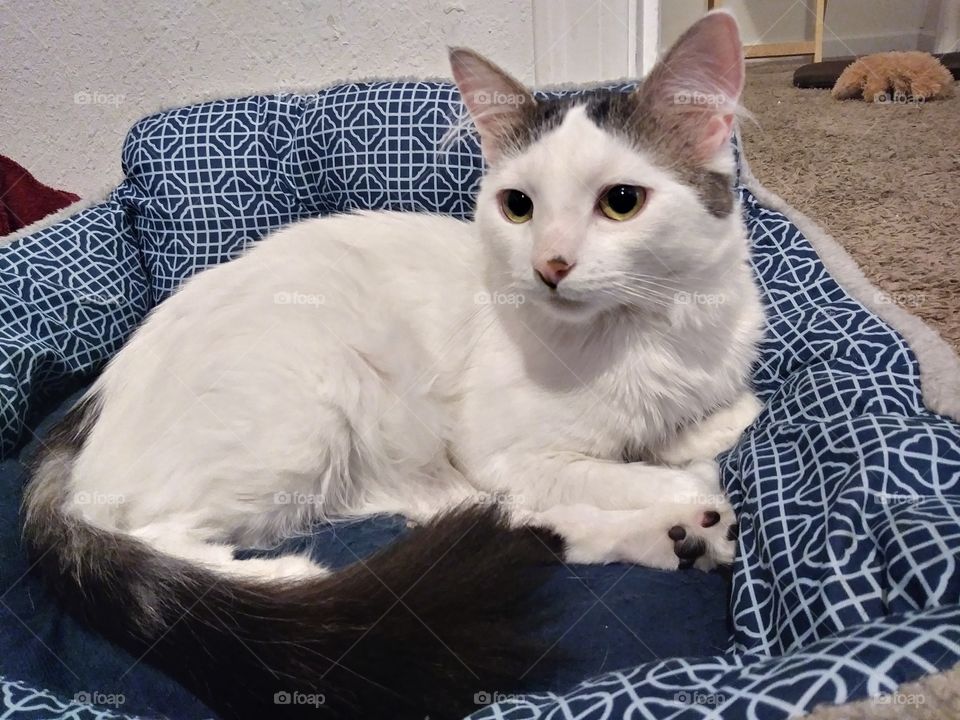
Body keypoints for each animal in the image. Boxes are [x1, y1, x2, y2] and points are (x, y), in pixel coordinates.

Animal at [22, 9, 764, 720]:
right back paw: (283, 580)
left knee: (515, 524)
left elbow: (694, 428)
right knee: (158, 539)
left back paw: (676, 541)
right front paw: (689, 486)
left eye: (621, 202)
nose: (549, 266)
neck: (645, 334)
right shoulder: (509, 454)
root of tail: (84, 414)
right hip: (306, 413)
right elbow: (641, 473)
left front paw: (710, 432)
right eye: (518, 207)